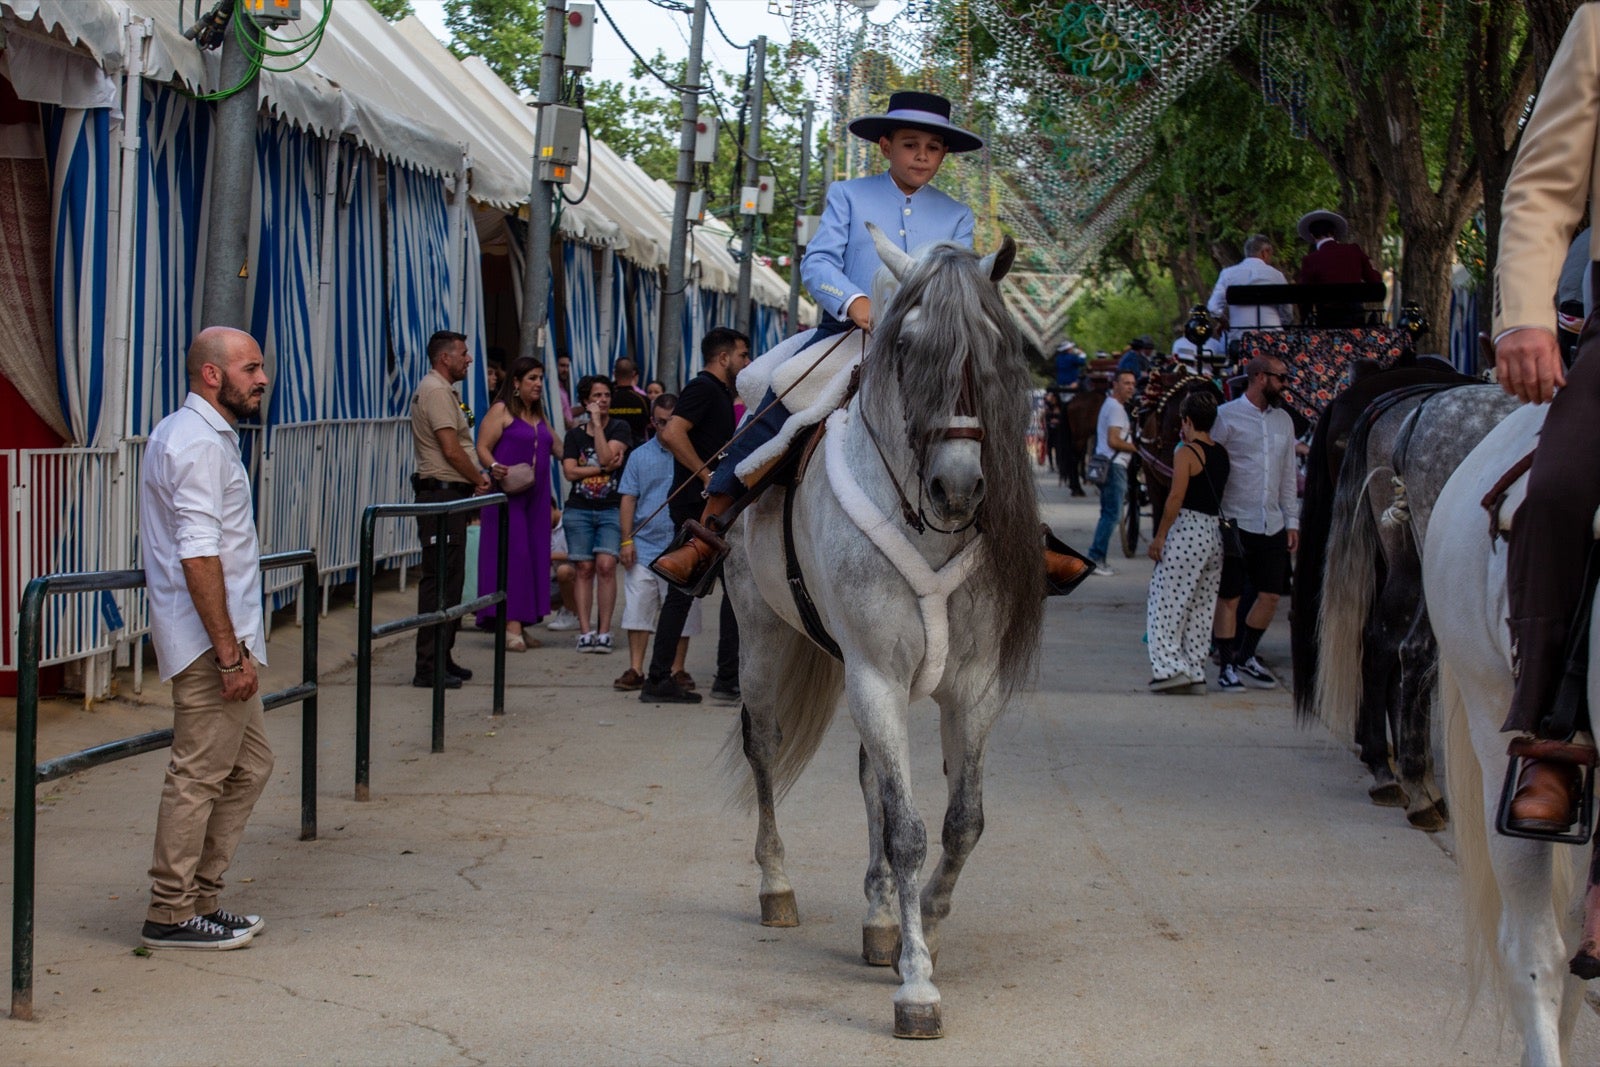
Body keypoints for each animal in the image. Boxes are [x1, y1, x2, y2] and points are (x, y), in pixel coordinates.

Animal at [723, 227, 1043, 1043]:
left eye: (997, 347)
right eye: (906, 345)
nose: (958, 488)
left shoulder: (971, 687)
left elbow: (962, 821)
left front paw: (920, 920)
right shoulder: (874, 673)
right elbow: (907, 828)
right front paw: (917, 985)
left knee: (871, 774)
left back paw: (877, 919)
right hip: (763, 635)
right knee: (764, 746)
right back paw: (776, 885)